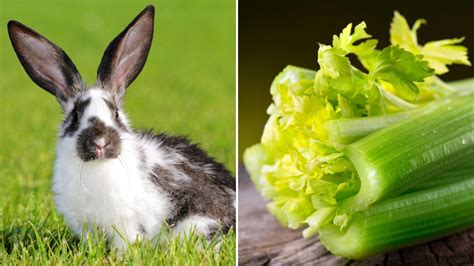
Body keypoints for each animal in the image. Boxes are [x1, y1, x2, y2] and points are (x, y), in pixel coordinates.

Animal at [6, 5, 236, 250]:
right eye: (75, 116)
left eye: (116, 113)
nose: (100, 142)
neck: (98, 167)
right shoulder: (87, 227)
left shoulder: (127, 223)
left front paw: (120, 255)